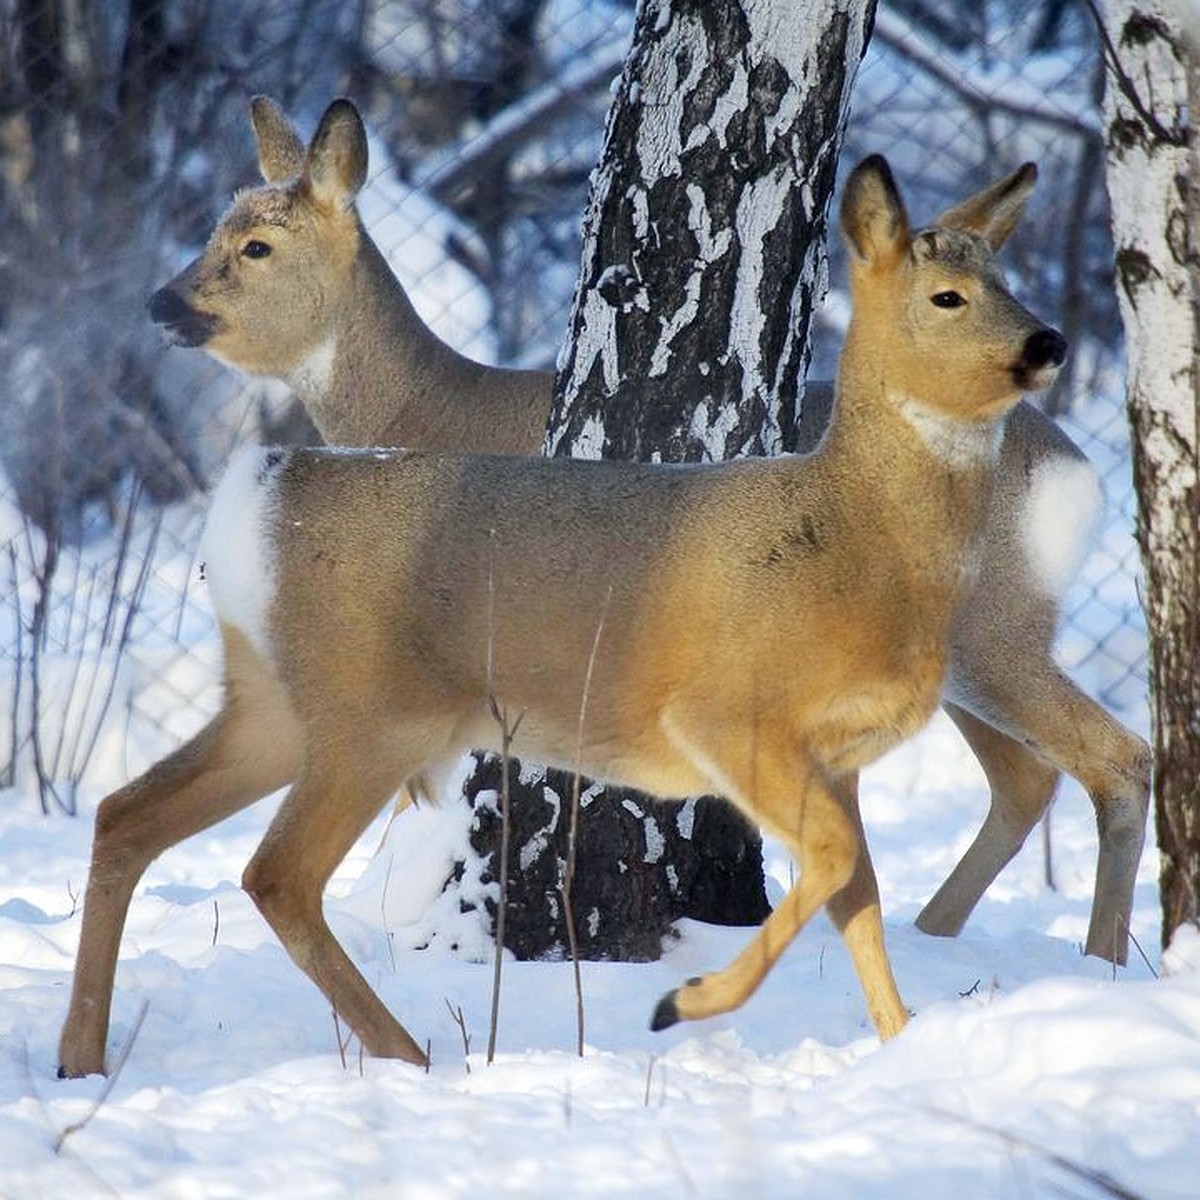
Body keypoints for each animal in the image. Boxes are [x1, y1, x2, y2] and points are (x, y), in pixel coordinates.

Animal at [65, 154, 1070, 1075]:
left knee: (126, 813)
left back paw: (81, 1056)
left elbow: (856, 892)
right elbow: (830, 865)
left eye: (1007, 282)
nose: (1049, 342)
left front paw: (901, 1045)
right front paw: (683, 1002)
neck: (857, 534)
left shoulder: (837, 756)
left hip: (276, 702)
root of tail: (255, 491)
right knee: (274, 873)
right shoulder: (728, 715)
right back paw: (413, 1056)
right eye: (948, 296)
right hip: (372, 714)